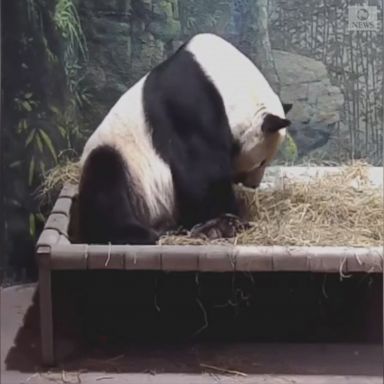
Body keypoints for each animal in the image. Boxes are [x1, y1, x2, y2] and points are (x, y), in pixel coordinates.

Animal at [76, 32, 292, 243]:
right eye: (262, 161)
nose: (253, 184)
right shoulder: (189, 106)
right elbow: (201, 170)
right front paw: (227, 220)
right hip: (124, 161)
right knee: (105, 179)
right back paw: (137, 233)